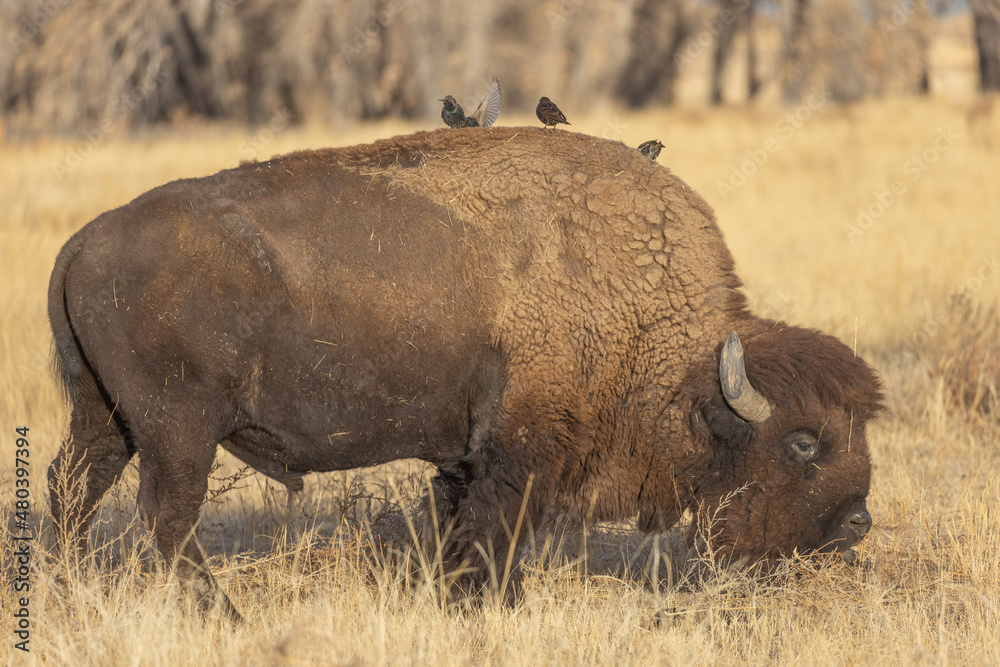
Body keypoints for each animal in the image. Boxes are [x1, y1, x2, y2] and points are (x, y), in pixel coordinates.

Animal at [48, 126, 884, 620]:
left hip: (104, 418)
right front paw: (493, 604)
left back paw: (62, 583)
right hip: (178, 432)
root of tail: (82, 243)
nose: (857, 522)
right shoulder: (518, 452)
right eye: (802, 442)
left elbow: (461, 525)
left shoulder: (462, 456)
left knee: (72, 488)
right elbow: (495, 531)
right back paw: (221, 612)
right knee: (167, 516)